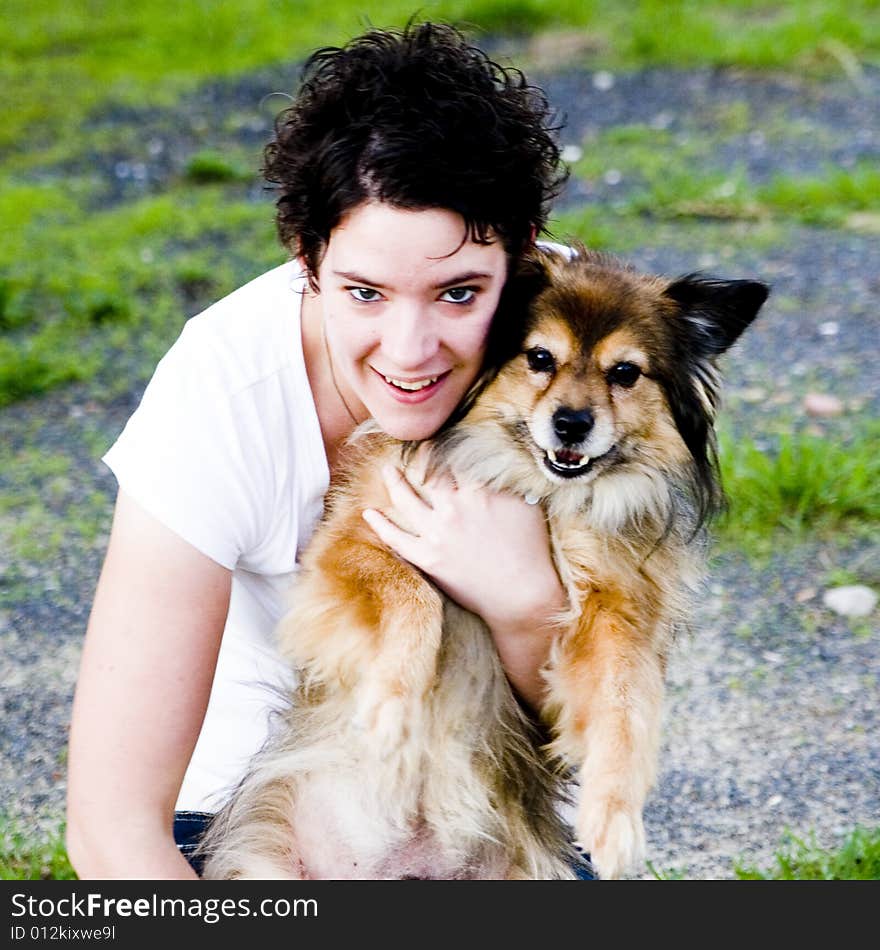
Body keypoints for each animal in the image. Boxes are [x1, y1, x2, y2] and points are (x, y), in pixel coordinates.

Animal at [196, 247, 768, 884]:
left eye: (625, 373)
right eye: (540, 358)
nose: (572, 423)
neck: (539, 495)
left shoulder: (614, 612)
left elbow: (623, 707)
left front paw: (614, 817)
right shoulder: (348, 546)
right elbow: (413, 597)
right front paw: (392, 707)